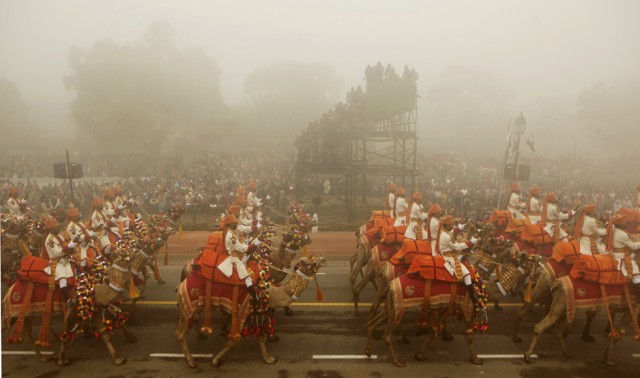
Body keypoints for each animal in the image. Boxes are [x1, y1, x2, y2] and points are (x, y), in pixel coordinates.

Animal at [364, 262, 524, 366]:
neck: (485, 289)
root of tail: (391, 283)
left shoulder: (448, 307)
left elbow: (435, 329)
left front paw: (420, 354)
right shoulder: (468, 307)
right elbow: (468, 335)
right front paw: (476, 359)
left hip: (390, 304)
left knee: (373, 322)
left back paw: (368, 350)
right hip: (399, 307)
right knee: (387, 334)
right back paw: (397, 361)